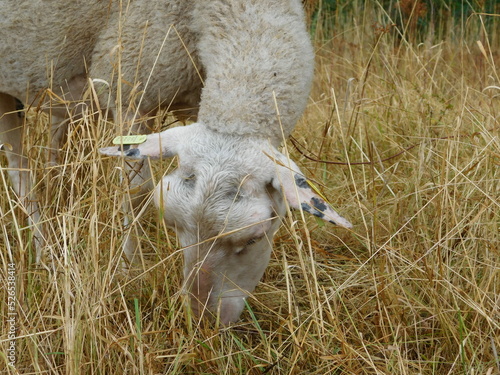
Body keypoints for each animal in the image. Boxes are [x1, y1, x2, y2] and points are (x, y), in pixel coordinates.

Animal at [0, 0, 352, 324]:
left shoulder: (192, 100)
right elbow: (137, 193)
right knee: (20, 174)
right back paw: (45, 254)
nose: (203, 320)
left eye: (255, 238)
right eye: (173, 224)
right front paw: (130, 271)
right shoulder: (127, 87)